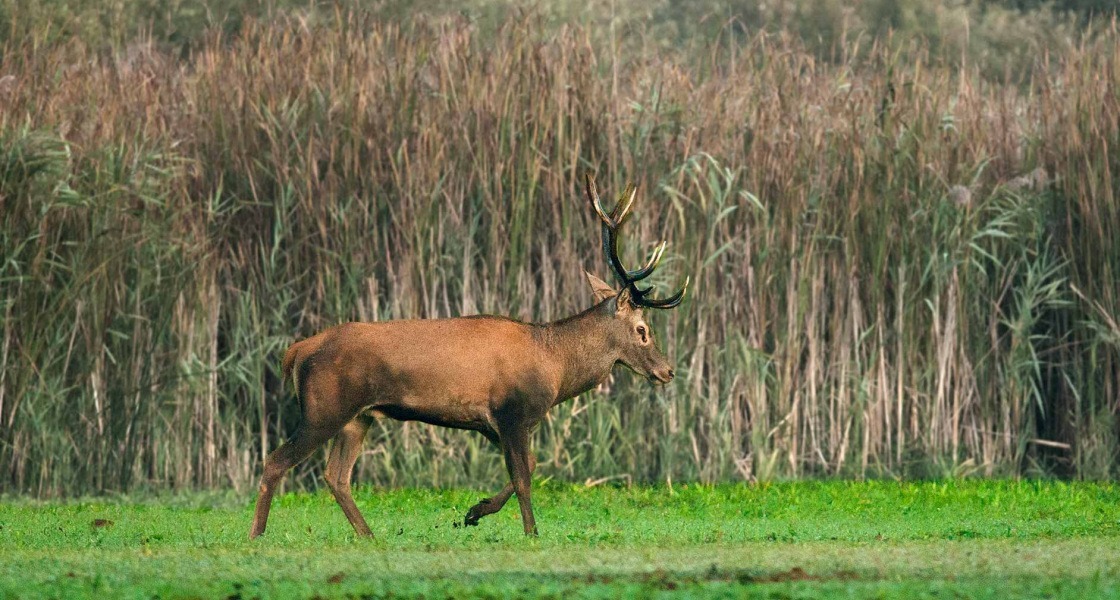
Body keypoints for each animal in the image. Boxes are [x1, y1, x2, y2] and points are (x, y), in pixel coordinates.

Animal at [249, 173, 685, 539]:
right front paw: (531, 533)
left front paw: (475, 511)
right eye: (643, 330)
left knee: (336, 476)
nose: (668, 371)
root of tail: (297, 351)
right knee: (276, 461)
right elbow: (525, 476)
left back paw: (369, 537)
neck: (555, 367)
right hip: (323, 408)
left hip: (359, 417)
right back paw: (257, 535)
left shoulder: (495, 423)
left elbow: (529, 467)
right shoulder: (511, 411)